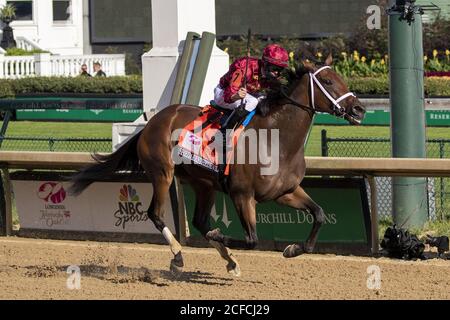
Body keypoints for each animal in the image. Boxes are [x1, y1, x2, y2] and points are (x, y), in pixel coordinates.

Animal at [70, 55, 366, 276]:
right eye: (327, 80)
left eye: (342, 78)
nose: (359, 110)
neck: (276, 140)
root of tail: (153, 122)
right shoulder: (242, 195)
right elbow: (251, 240)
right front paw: (222, 238)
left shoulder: (285, 192)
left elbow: (319, 214)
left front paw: (293, 248)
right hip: (163, 173)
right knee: (156, 213)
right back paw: (178, 256)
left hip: (203, 183)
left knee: (199, 220)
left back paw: (229, 260)